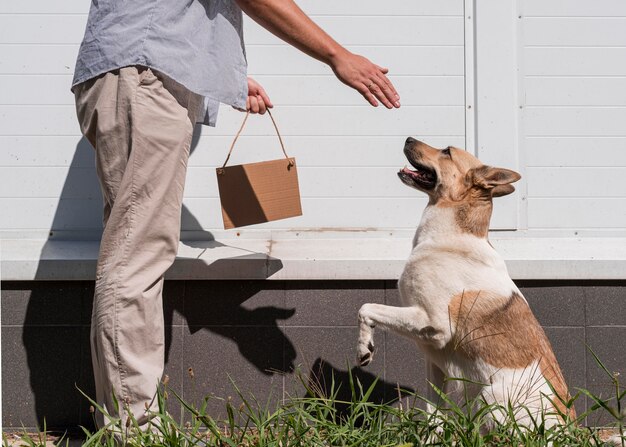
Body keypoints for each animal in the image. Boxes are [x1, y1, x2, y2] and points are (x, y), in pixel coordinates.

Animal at [356, 138, 572, 428]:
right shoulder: (435, 361)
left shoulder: (433, 322)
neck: (450, 235)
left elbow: (367, 308)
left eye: (447, 151)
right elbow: (433, 416)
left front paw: (364, 348)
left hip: (490, 396)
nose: (408, 139)